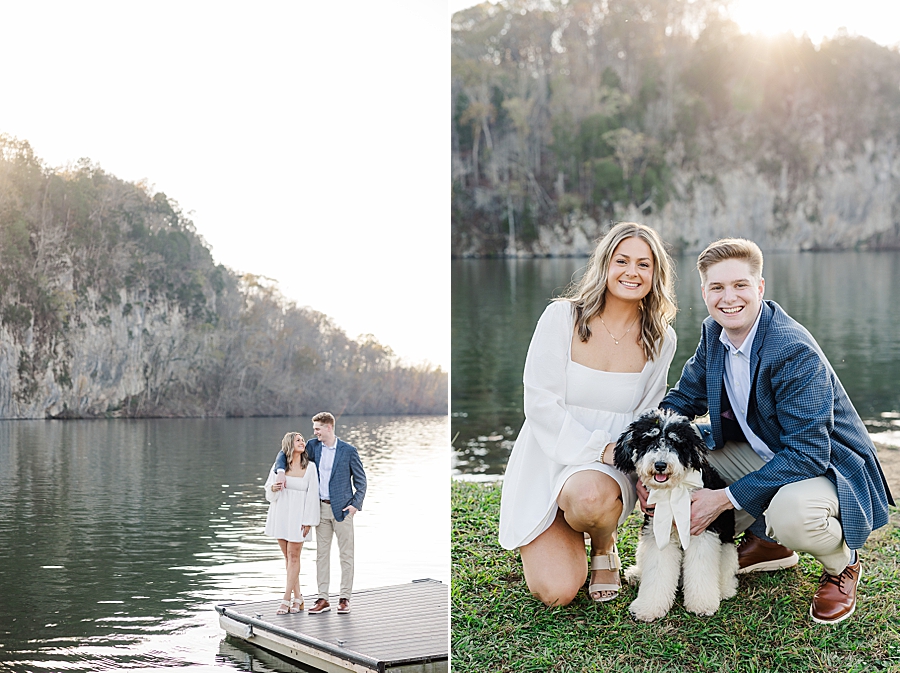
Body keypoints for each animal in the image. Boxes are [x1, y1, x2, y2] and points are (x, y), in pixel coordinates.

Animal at [620, 406, 740, 624]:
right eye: (648, 440)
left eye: (675, 442)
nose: (660, 465)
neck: (671, 491)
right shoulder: (658, 534)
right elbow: (657, 571)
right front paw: (648, 607)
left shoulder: (703, 532)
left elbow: (701, 570)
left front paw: (702, 604)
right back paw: (636, 574)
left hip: (727, 546)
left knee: (727, 569)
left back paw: (725, 589)